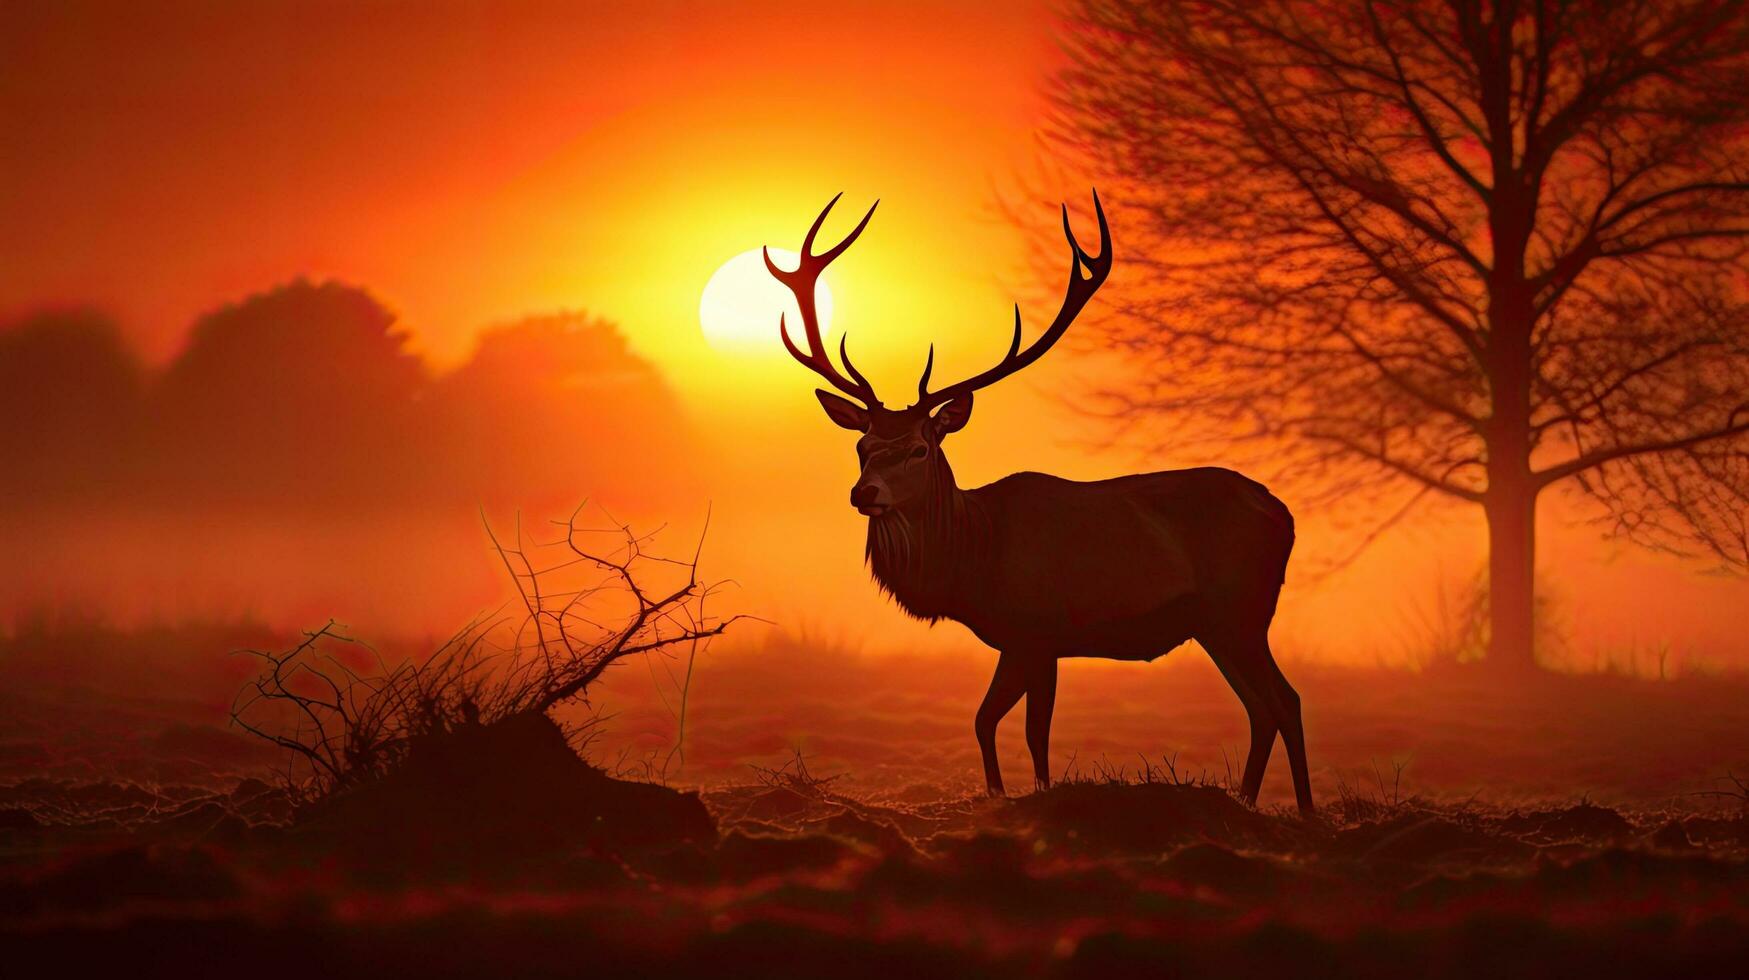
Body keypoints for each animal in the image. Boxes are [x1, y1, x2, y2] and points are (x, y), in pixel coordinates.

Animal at [766, 189, 1315, 812]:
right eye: (862, 446)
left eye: (919, 448)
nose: (864, 493)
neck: (974, 560)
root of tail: (1285, 514)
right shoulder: (1017, 640)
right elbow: (984, 720)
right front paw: (997, 793)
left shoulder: (1040, 628)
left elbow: (1032, 730)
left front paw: (1039, 796)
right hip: (1216, 624)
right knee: (1262, 708)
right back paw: (1246, 802)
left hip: (1242, 610)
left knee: (1286, 700)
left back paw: (1304, 811)